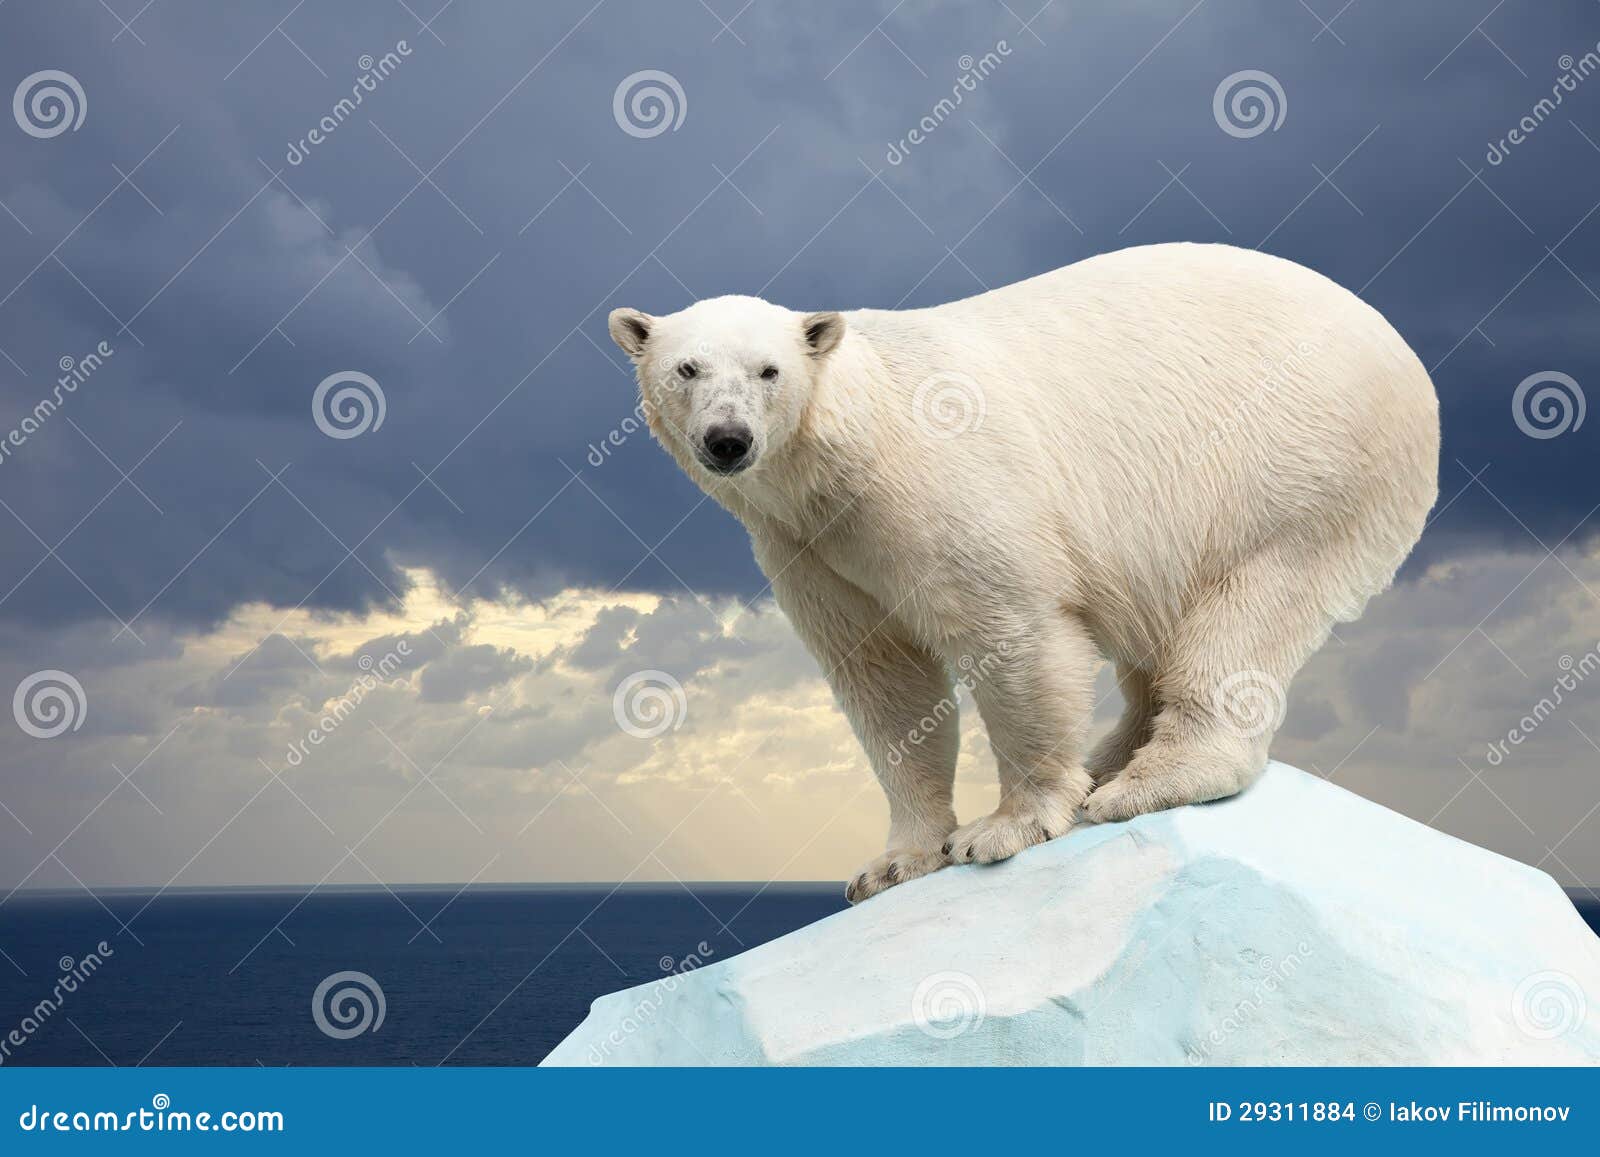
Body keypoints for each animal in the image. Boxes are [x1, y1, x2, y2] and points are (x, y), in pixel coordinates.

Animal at [608, 244, 1440, 902]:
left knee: (1250, 610)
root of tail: (1406, 359)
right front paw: (893, 861)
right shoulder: (809, 548)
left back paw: (1147, 780)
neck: (853, 450)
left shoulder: (944, 488)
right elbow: (883, 679)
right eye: (686, 367)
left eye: (768, 370)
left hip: (1297, 463)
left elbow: (1014, 633)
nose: (728, 439)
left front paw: (1004, 826)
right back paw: (1112, 758)